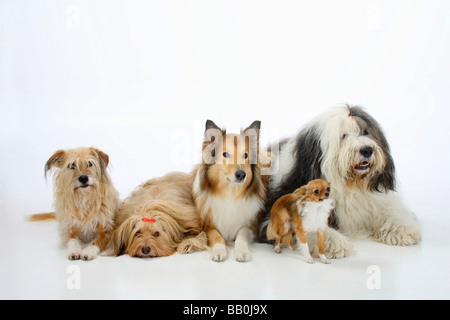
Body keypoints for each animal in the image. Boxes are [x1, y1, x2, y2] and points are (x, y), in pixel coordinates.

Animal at [193, 120, 268, 262]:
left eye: (245, 155)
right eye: (225, 154)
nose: (241, 175)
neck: (231, 193)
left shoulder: (251, 225)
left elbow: (241, 235)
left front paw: (242, 251)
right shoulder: (209, 226)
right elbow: (217, 236)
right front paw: (218, 251)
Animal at [260, 106, 422, 258]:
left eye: (365, 132)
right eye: (343, 136)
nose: (367, 150)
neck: (349, 184)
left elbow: (391, 209)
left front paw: (402, 228)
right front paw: (334, 243)